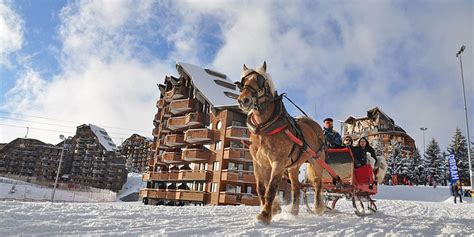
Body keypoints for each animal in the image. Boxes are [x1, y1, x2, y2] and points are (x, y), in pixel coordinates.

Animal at [236, 62, 328, 224]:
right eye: (243, 81)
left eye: (261, 81)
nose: (243, 100)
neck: (265, 128)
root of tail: (313, 123)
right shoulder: (258, 163)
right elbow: (261, 188)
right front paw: (273, 209)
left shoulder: (278, 163)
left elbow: (271, 188)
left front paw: (265, 215)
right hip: (293, 166)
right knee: (296, 187)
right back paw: (294, 211)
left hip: (317, 159)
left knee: (318, 183)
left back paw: (318, 207)